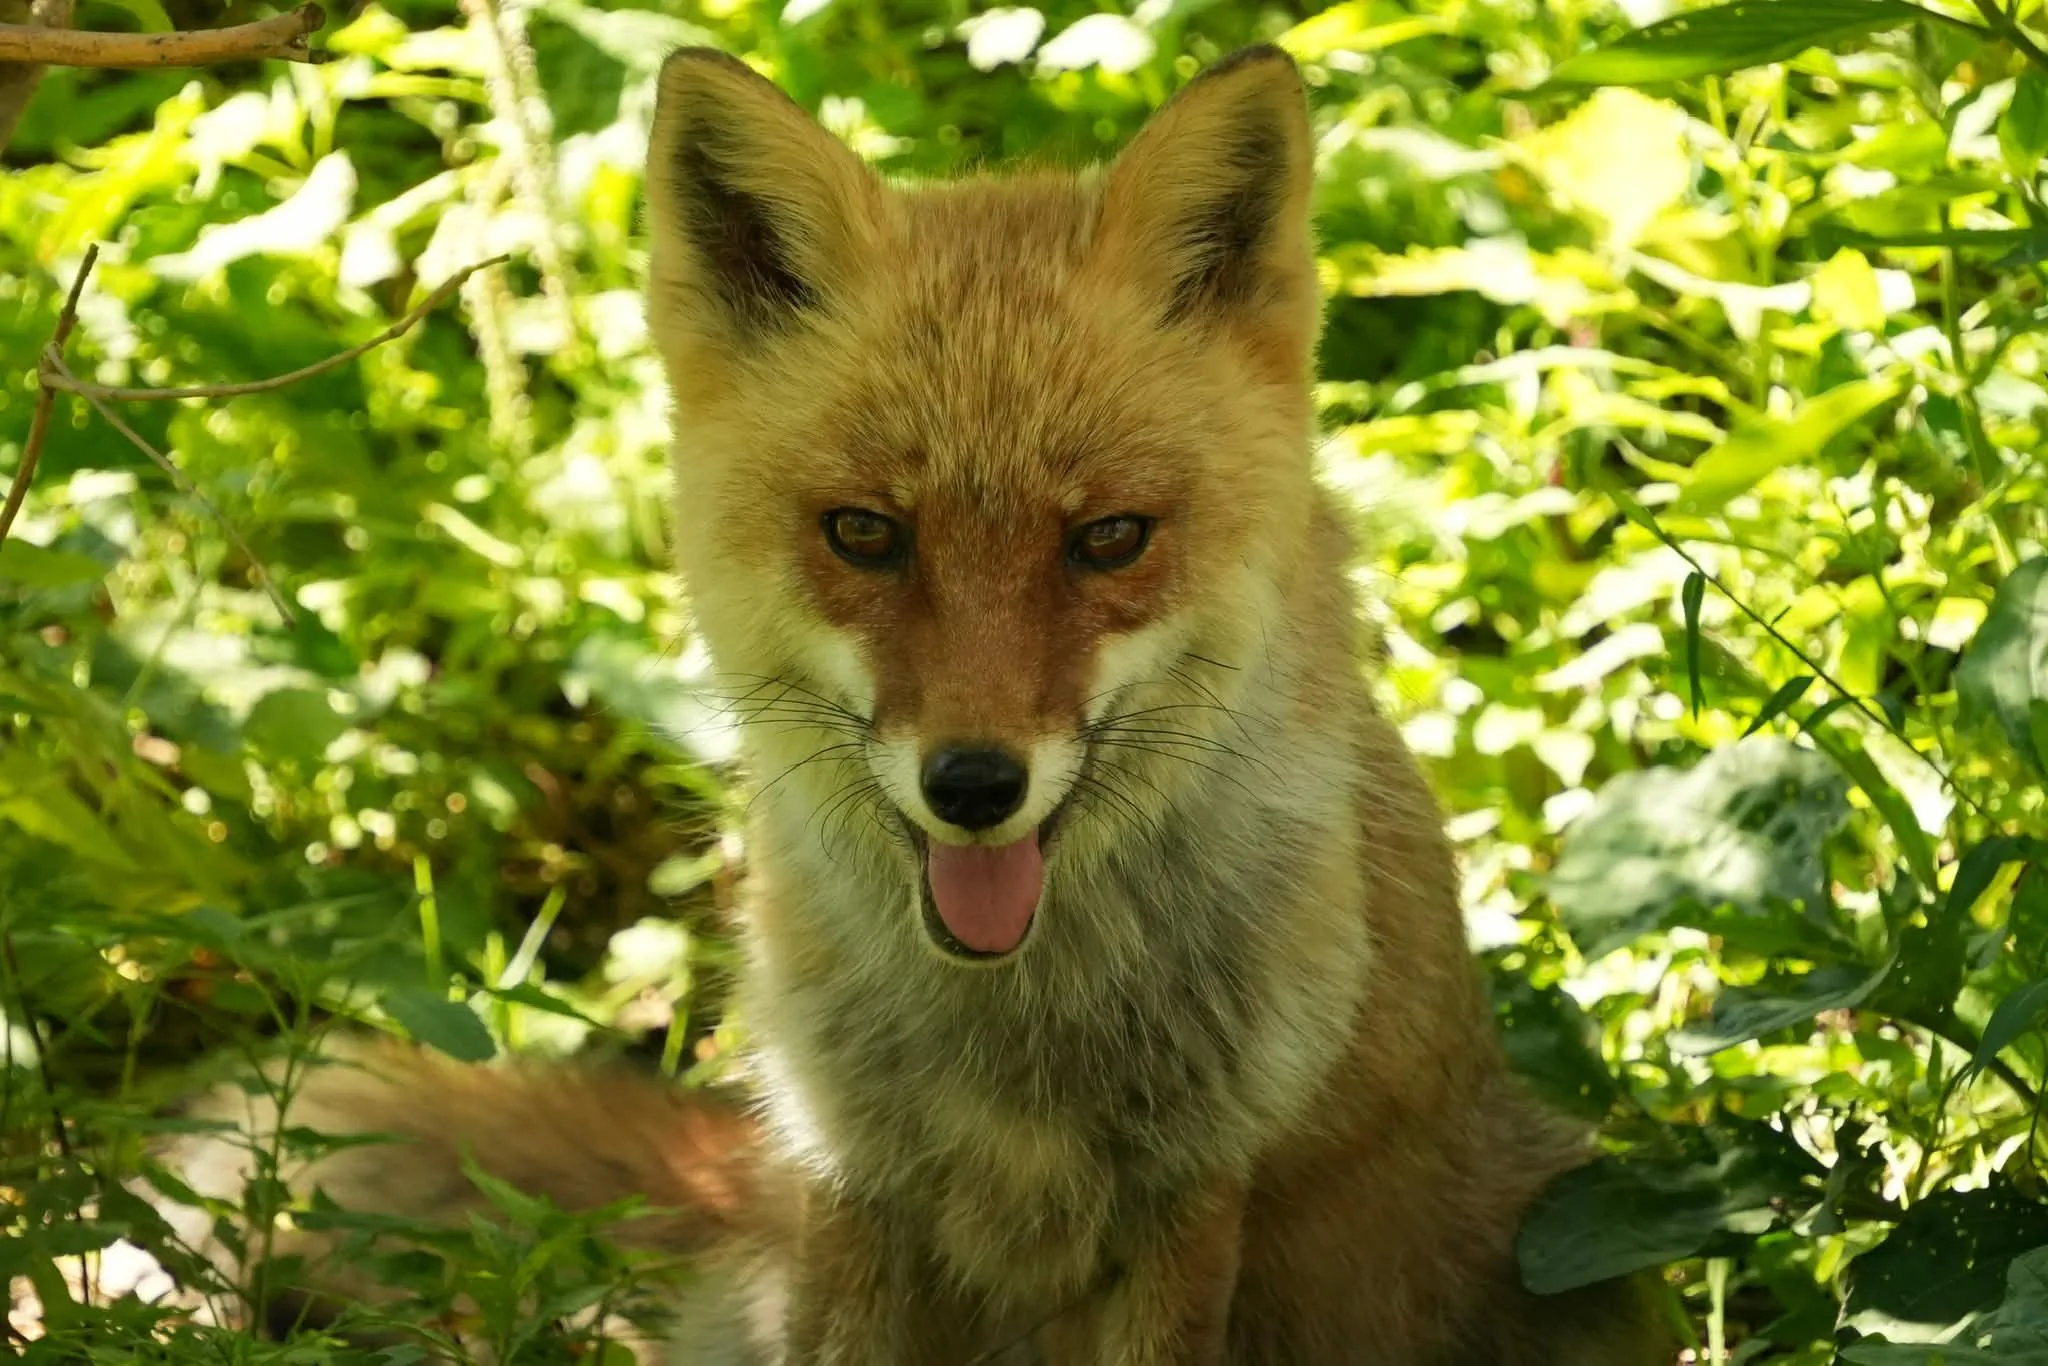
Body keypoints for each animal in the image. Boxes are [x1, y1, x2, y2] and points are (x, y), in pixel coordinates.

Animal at [156, 42, 1670, 1366]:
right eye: (864, 534)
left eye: (1108, 538)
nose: (975, 785)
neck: (1017, 1038)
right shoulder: (854, 1174)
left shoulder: (1194, 1190)